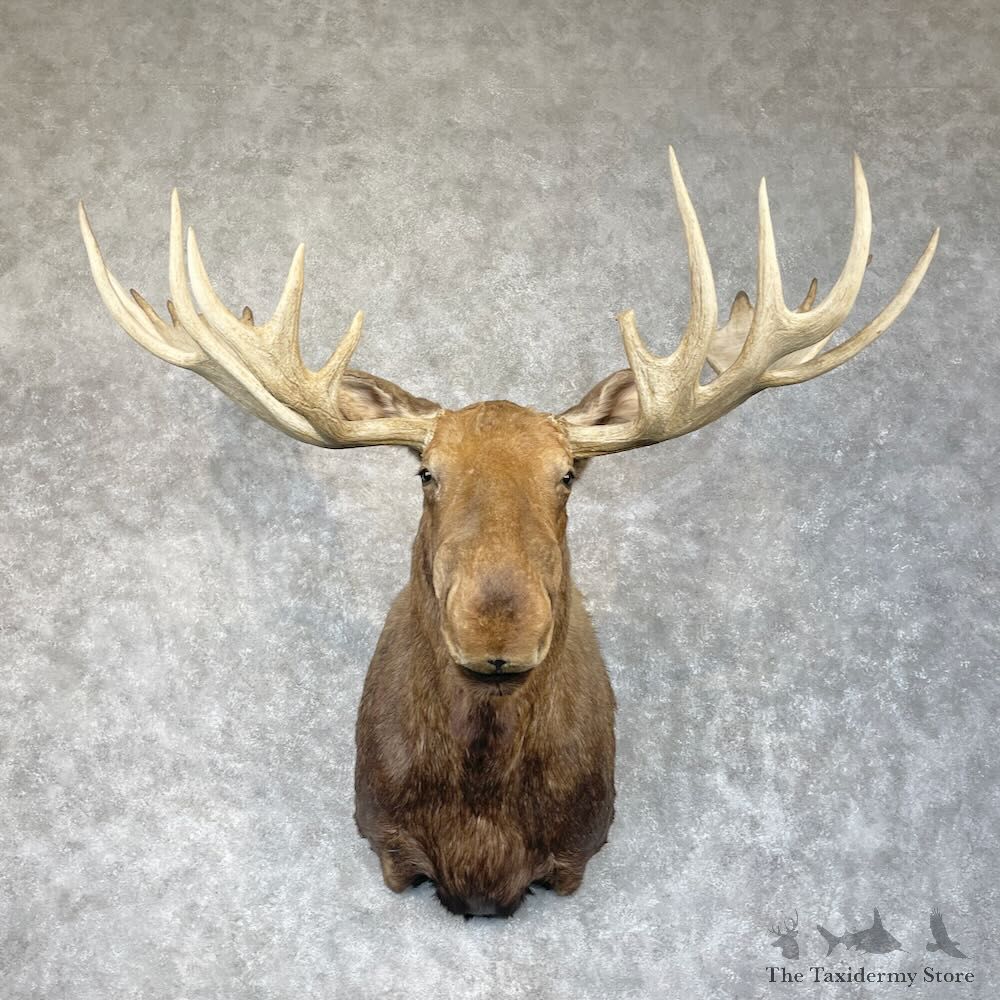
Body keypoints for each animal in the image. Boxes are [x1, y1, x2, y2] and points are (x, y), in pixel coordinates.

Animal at [79, 149, 937, 917]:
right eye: (427, 472)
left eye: (566, 475)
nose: (499, 625)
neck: (482, 821)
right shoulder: (388, 843)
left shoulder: (575, 853)